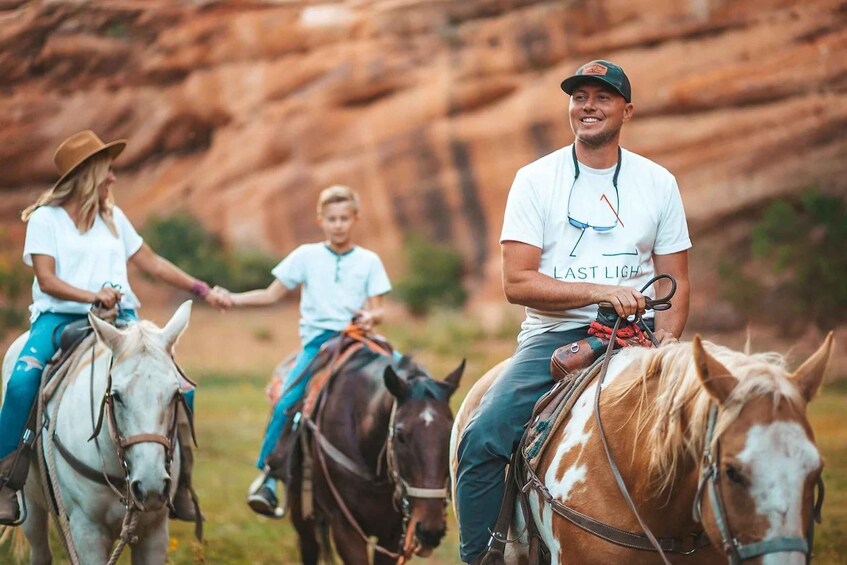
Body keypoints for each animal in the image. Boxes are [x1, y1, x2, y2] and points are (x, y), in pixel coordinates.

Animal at [0, 302, 194, 560]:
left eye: (176, 394)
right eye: (116, 396)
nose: (151, 485)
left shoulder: (154, 532)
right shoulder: (87, 531)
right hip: (31, 508)